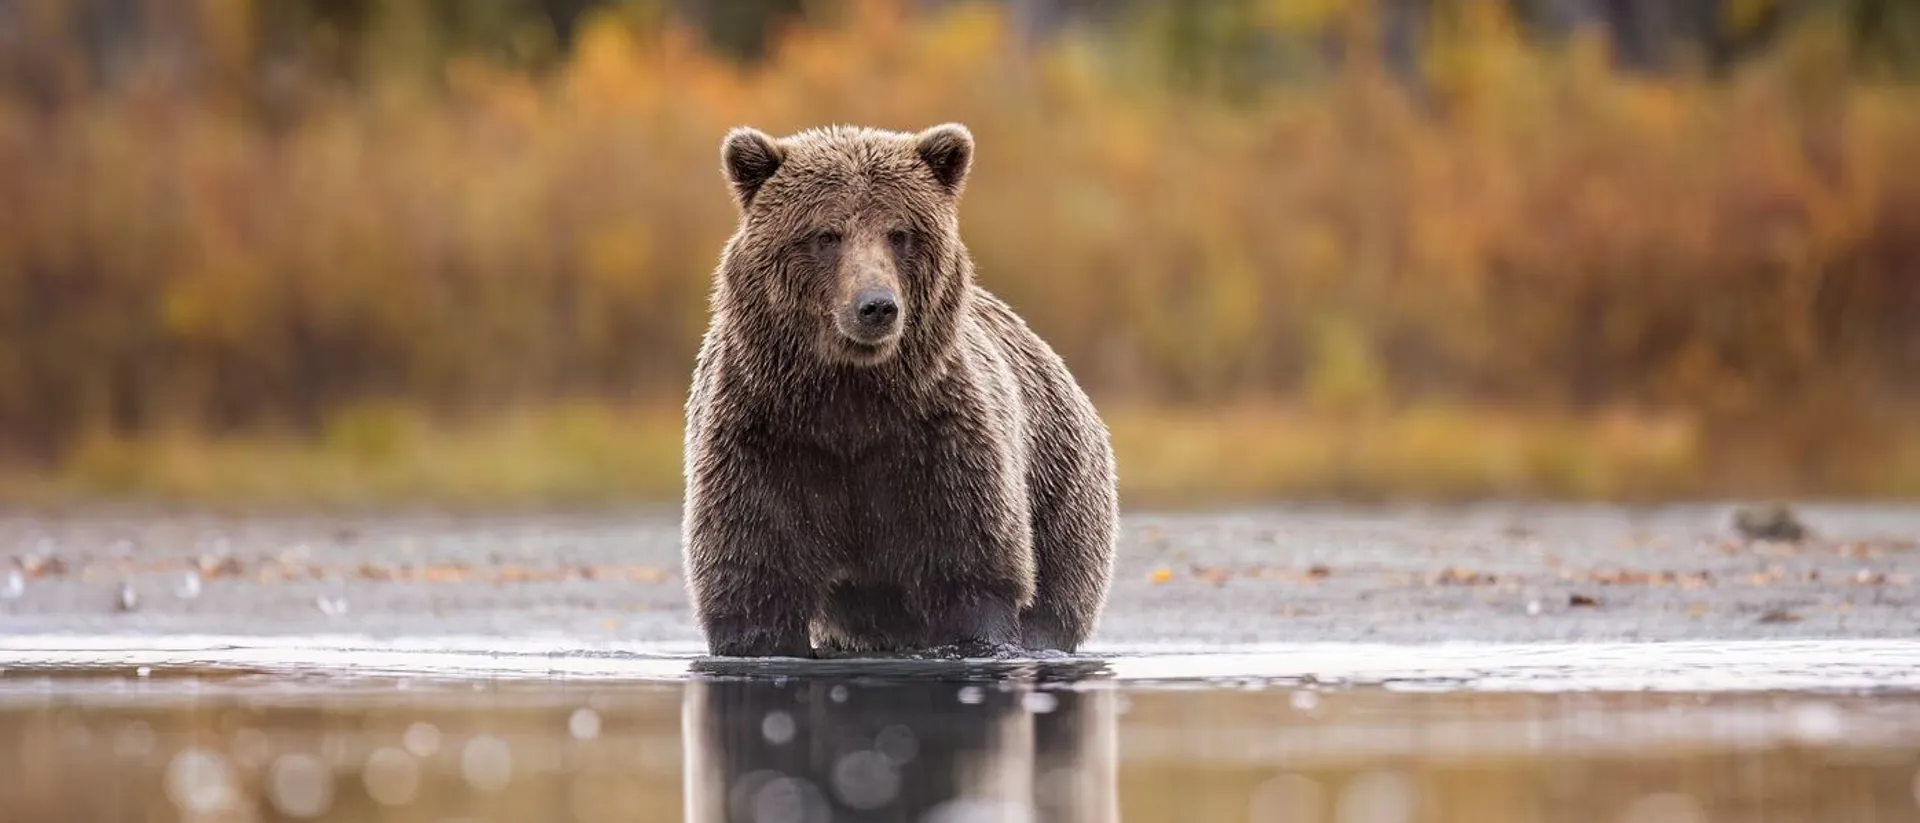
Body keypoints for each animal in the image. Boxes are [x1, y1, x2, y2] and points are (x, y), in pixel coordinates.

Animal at [679, 122, 1119, 658]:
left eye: (900, 232)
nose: (876, 306)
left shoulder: (938, 446)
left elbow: (972, 573)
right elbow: (754, 579)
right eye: (826, 234)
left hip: (1062, 493)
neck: (850, 396)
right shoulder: (766, 442)